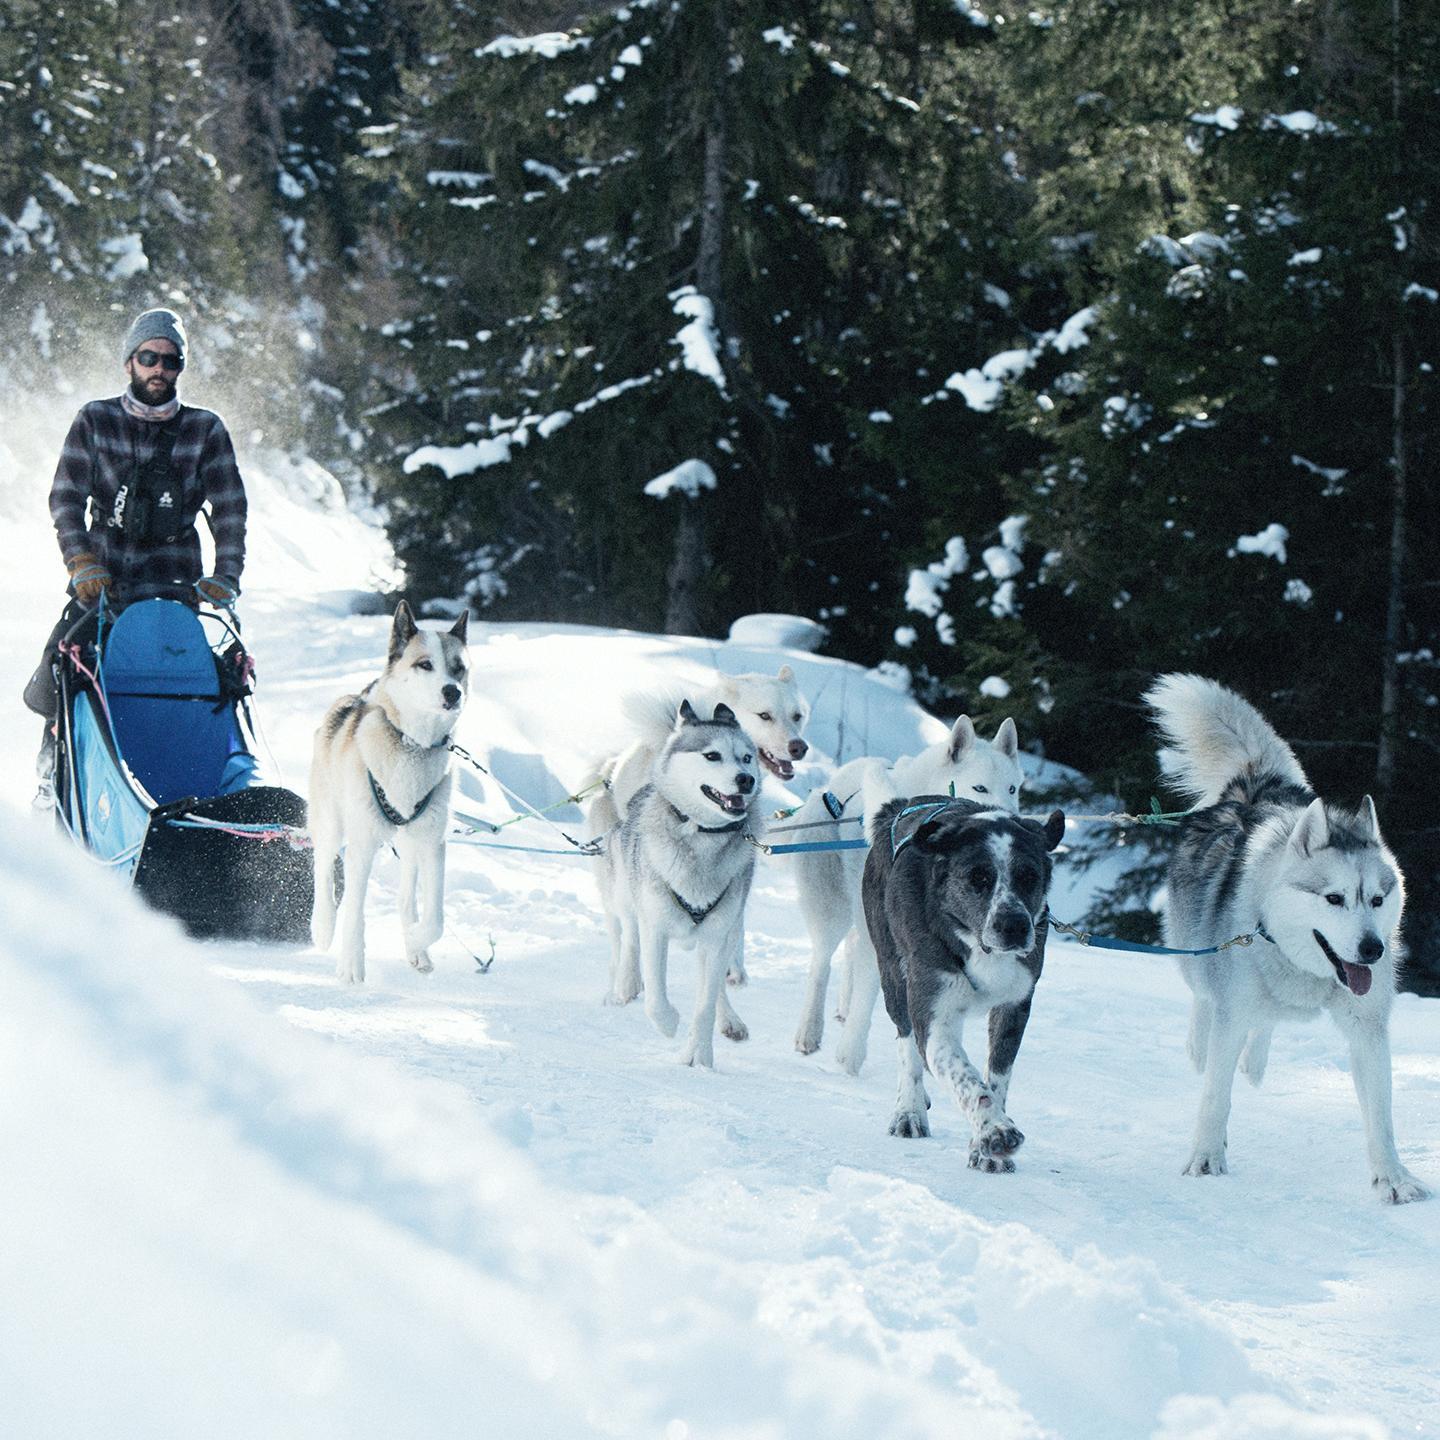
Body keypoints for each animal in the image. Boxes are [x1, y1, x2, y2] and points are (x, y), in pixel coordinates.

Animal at [858, 789, 1065, 1169]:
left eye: (1029, 876)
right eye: (978, 877)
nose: (1014, 925)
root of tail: (899, 806)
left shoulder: (1014, 1006)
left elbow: (996, 1079)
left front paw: (985, 1145)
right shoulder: (934, 1009)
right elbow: (964, 1076)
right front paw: (996, 1130)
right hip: (892, 974)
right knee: (907, 1044)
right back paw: (909, 1111)